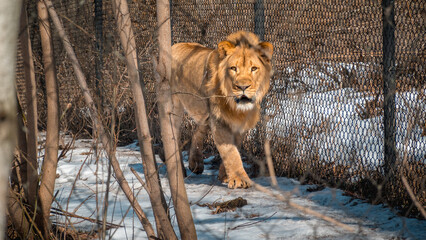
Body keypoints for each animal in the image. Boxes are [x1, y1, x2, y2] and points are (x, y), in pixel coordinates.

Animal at [170, 31, 272, 188]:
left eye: (254, 68)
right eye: (233, 68)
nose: (243, 87)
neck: (235, 107)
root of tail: (174, 45)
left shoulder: (240, 122)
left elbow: (235, 147)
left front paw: (224, 176)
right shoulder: (219, 119)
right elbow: (230, 151)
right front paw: (239, 180)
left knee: (199, 129)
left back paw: (196, 163)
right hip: (174, 104)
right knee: (173, 134)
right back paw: (179, 171)